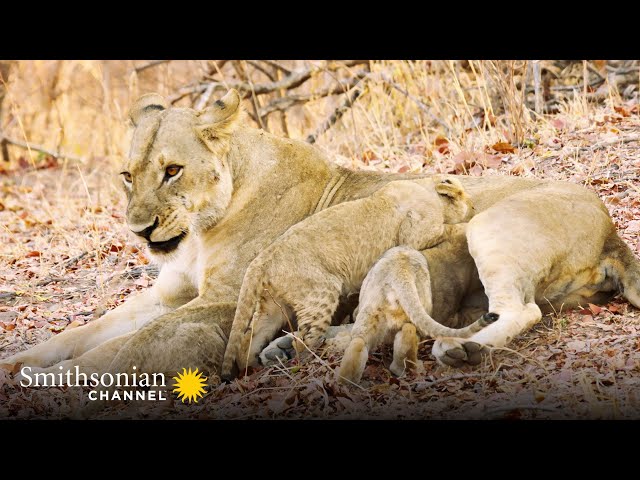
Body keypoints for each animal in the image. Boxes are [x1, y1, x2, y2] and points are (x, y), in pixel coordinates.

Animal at [220, 176, 474, 378]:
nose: (472, 206)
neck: (424, 187)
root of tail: (261, 260)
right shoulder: (415, 236)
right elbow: (446, 229)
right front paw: (467, 221)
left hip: (273, 306)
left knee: (248, 339)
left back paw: (253, 368)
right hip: (320, 295)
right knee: (306, 340)